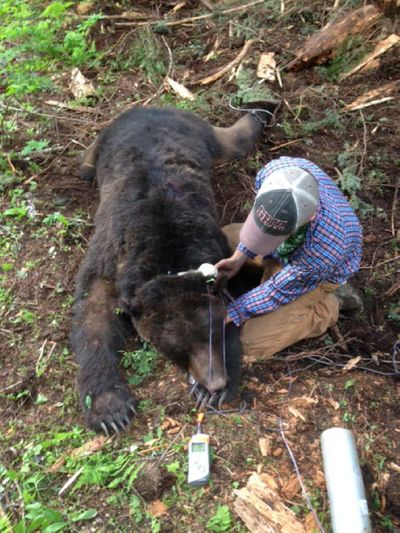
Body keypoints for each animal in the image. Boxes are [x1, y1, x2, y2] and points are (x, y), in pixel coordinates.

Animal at [72, 105, 266, 432]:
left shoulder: (217, 252)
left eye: (212, 333)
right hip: (107, 141)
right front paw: (110, 409)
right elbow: (93, 312)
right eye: (178, 348)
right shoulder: (110, 257)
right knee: (89, 159)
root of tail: (149, 108)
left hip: (195, 131)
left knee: (227, 142)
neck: (167, 258)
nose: (214, 382)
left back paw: (256, 116)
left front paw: (218, 388)